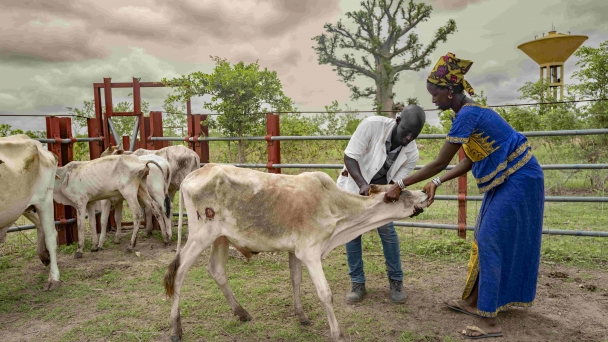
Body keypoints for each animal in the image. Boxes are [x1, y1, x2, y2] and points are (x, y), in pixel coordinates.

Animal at [0, 135, 60, 290]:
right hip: (22, 205)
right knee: (39, 225)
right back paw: (44, 256)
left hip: (44, 200)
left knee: (51, 236)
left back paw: (53, 278)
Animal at [162, 164, 428, 340]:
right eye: (403, 193)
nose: (426, 193)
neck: (338, 211)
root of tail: (193, 174)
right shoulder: (310, 252)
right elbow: (325, 293)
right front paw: (337, 332)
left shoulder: (296, 251)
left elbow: (296, 280)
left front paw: (301, 316)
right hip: (200, 235)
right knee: (179, 272)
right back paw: (176, 329)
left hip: (221, 237)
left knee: (216, 269)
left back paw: (242, 312)